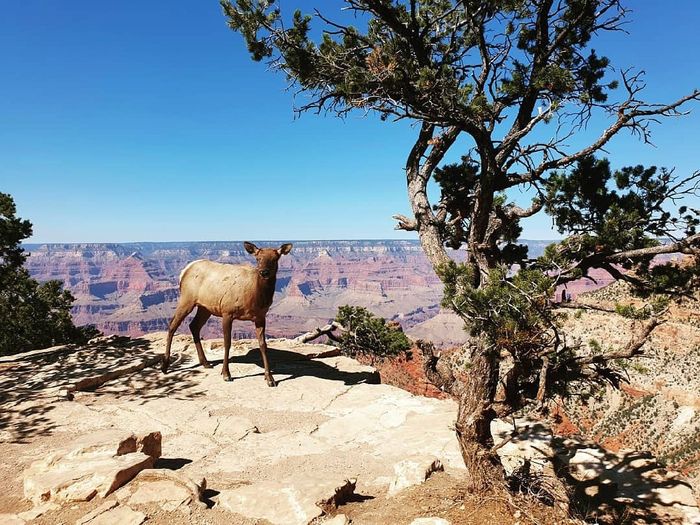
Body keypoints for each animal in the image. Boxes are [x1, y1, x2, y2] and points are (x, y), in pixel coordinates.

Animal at [162, 242, 292, 384]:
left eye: (275, 259)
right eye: (258, 259)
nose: (264, 272)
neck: (254, 298)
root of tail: (183, 272)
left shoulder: (261, 316)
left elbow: (263, 345)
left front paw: (269, 378)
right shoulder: (227, 311)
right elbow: (227, 343)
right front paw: (226, 374)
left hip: (205, 307)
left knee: (194, 325)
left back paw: (205, 362)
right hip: (187, 298)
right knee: (172, 325)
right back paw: (165, 366)